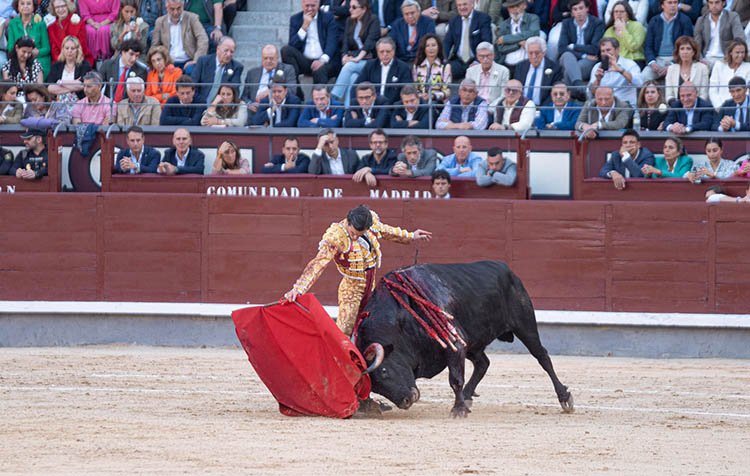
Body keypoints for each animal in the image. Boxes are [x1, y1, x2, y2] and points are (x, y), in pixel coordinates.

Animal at [358, 260, 576, 416]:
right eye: (375, 387)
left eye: (384, 371)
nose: (406, 401)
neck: (400, 318)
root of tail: (507, 269)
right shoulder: (458, 346)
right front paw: (462, 404)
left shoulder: (454, 343)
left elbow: (455, 378)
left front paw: (458, 410)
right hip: (473, 342)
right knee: (483, 363)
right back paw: (468, 396)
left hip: (525, 324)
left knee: (542, 357)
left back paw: (565, 398)